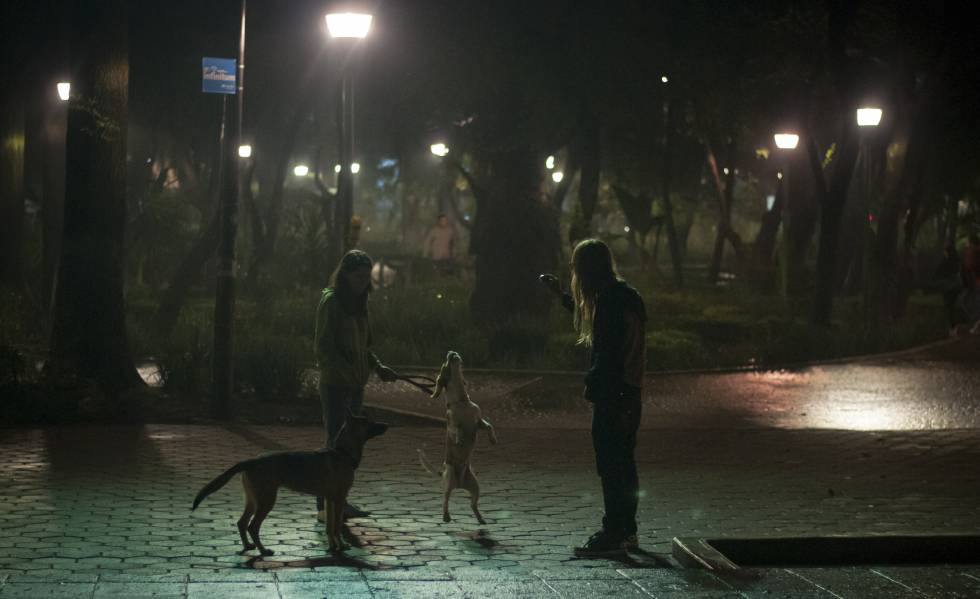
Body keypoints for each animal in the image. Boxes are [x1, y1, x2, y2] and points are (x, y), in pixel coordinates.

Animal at [191, 410, 386, 556]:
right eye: (368, 422)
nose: (386, 425)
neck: (342, 453)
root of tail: (250, 461)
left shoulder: (329, 500)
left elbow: (330, 528)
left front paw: (333, 546)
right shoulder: (338, 500)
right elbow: (337, 526)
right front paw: (343, 546)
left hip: (253, 500)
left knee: (241, 523)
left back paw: (248, 546)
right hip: (266, 501)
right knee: (253, 527)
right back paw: (263, 551)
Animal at [420, 352, 498, 524]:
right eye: (445, 363)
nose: (451, 352)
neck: (461, 401)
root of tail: (459, 484)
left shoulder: (478, 421)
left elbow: (489, 426)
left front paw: (493, 440)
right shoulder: (451, 424)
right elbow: (458, 429)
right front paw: (460, 439)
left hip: (476, 486)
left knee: (472, 505)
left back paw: (481, 518)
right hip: (449, 479)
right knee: (445, 500)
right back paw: (446, 516)